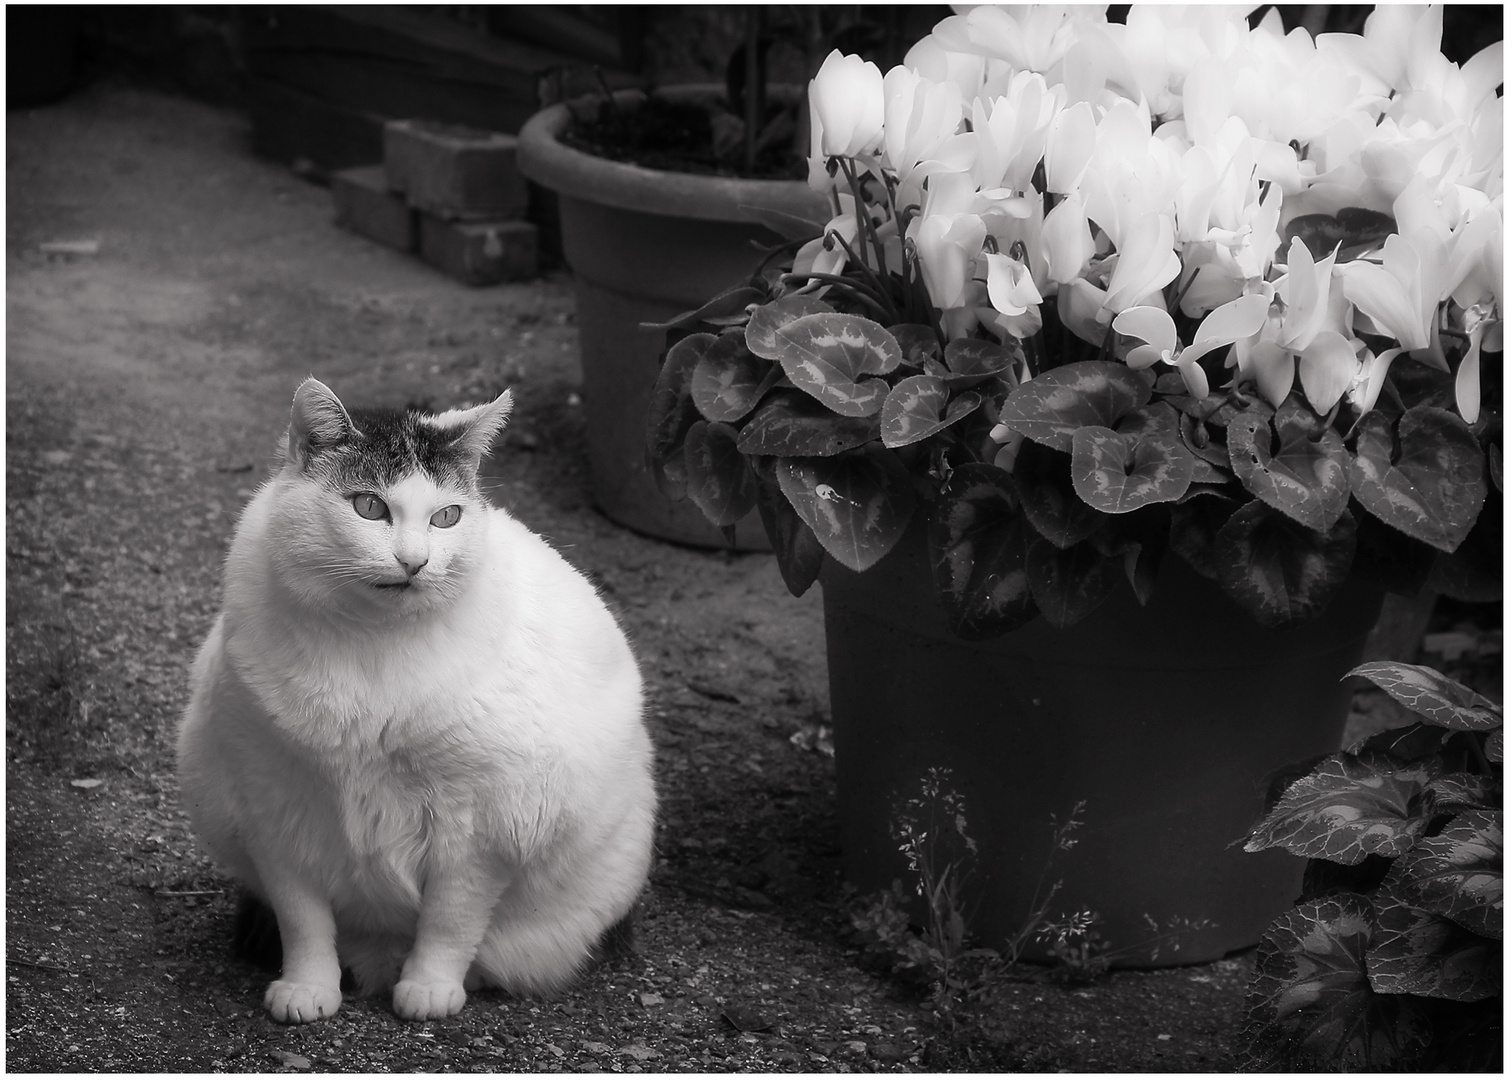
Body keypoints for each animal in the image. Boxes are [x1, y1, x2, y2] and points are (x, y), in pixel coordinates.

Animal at [176, 378, 656, 1016]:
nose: (414, 561)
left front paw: (430, 989)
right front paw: (307, 990)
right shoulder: (274, 811)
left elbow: (450, 921)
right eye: (369, 507)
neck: (372, 646)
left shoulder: (480, 831)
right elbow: (302, 920)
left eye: (447, 517)